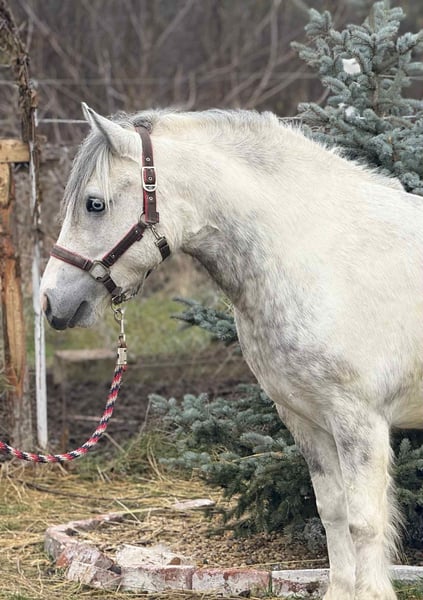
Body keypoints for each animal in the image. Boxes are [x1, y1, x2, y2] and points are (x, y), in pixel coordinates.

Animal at [40, 104, 423, 600]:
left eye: (94, 204)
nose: (52, 303)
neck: (322, 256)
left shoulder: (361, 423)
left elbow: (364, 523)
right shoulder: (306, 419)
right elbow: (332, 513)